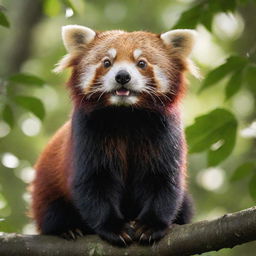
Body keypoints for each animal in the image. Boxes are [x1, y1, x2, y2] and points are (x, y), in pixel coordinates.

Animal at [30, 25, 198, 246]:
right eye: (107, 62)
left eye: (141, 63)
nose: (122, 76)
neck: (125, 115)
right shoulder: (88, 130)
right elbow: (95, 181)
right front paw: (114, 227)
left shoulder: (164, 131)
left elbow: (161, 179)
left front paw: (150, 226)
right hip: (47, 189)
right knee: (52, 210)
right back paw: (67, 229)